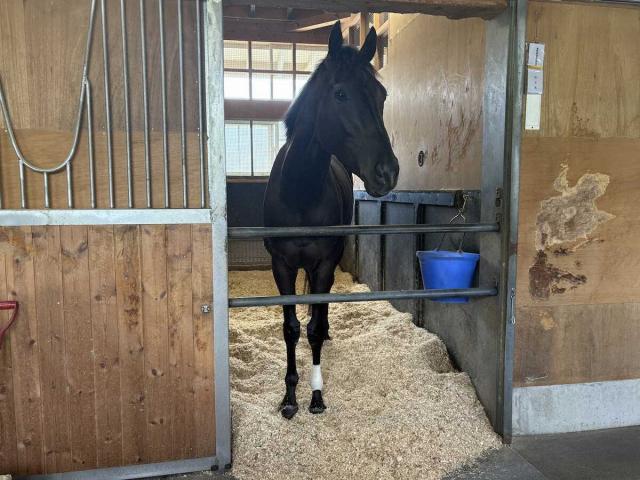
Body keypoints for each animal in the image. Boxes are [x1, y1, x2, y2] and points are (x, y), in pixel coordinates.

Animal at [263, 21, 399, 419]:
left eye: (381, 95)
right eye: (340, 93)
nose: (388, 172)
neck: (300, 193)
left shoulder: (324, 262)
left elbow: (310, 327)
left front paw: (316, 395)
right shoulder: (282, 265)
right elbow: (290, 328)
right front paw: (289, 397)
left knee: (320, 313)